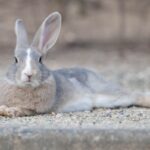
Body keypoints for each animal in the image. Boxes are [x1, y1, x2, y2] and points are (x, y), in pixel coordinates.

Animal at [0, 12, 149, 117]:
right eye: (15, 59)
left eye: (40, 59)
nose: (29, 74)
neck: (27, 88)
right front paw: (3, 109)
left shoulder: (36, 109)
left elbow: (24, 109)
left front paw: (10, 111)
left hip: (109, 95)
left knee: (133, 95)